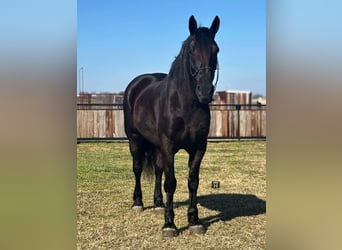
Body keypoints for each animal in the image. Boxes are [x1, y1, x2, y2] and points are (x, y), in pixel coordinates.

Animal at [124, 16, 220, 238]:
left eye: (216, 50)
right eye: (192, 50)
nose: (205, 91)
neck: (184, 105)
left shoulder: (198, 148)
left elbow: (192, 181)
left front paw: (194, 221)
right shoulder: (168, 147)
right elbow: (171, 182)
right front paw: (169, 225)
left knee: (158, 170)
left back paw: (158, 204)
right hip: (134, 139)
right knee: (138, 168)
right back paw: (138, 203)